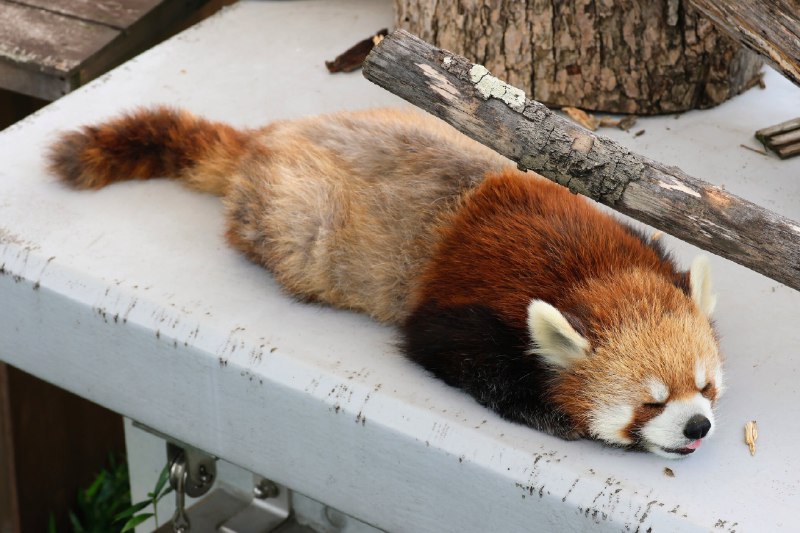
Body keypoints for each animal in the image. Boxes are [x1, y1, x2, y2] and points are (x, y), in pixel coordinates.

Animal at [50, 107, 724, 458]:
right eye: (649, 403)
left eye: (705, 387)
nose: (698, 427)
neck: (587, 268)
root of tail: (269, 139)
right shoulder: (465, 310)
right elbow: (452, 355)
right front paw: (552, 415)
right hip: (299, 221)